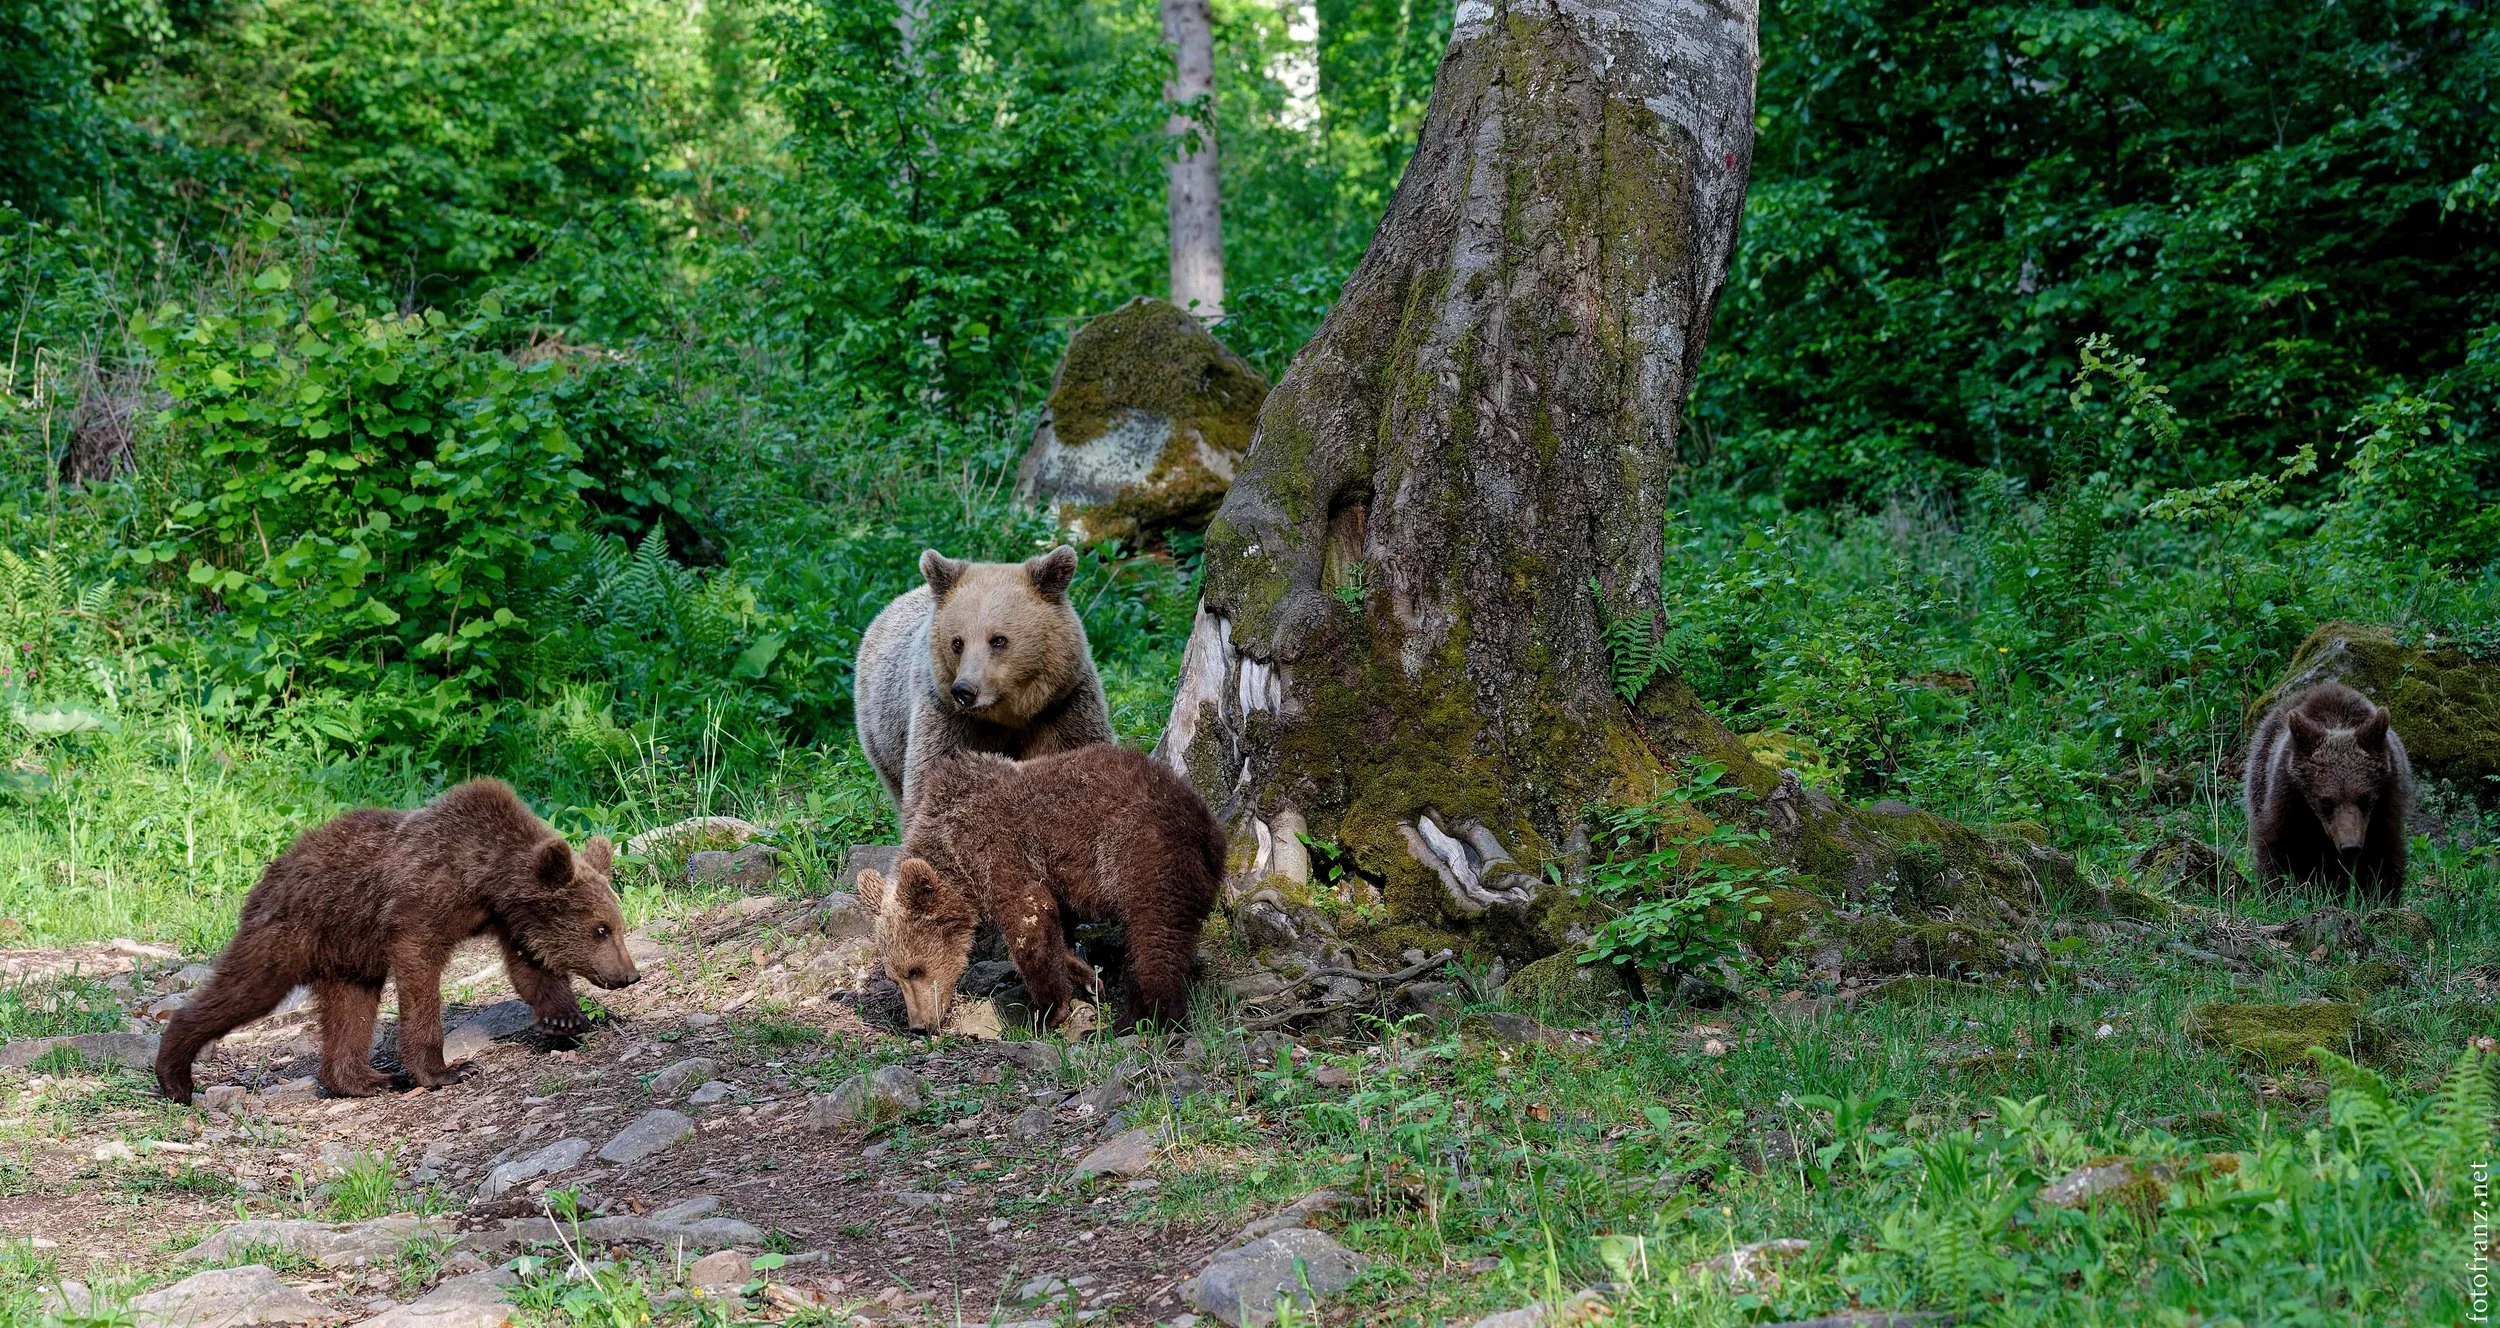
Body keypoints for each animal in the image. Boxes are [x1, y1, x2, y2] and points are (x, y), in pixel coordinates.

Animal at [155, 779, 641, 1104]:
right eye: (601, 928)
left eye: (616, 925)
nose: (629, 974)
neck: (484, 879)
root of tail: (273, 869)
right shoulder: (420, 907)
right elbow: (420, 974)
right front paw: (447, 1070)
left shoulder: (510, 920)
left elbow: (530, 968)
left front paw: (565, 1019)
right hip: (290, 931)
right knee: (245, 989)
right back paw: (175, 1075)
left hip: (349, 954)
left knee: (350, 1010)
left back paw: (367, 1079)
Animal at [853, 545, 1114, 819]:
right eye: (957, 642)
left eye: (998, 639)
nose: (964, 691)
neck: (1010, 715)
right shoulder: (949, 720)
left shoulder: (1062, 707)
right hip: (882, 732)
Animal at [862, 742, 1224, 1035]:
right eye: (895, 977)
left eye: (915, 969)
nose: (919, 1025)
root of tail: (1208, 827)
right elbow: (1055, 930)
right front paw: (1088, 978)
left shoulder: (998, 849)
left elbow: (1029, 920)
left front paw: (1050, 1011)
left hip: (1143, 853)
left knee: (1154, 938)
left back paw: (1154, 1020)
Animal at [2245, 681, 2414, 901]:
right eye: (2326, 801)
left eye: (2364, 798)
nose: (2350, 847)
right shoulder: (2285, 800)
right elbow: (2278, 848)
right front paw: (2279, 893)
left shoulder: (2387, 803)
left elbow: (2383, 855)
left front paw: (2379, 895)